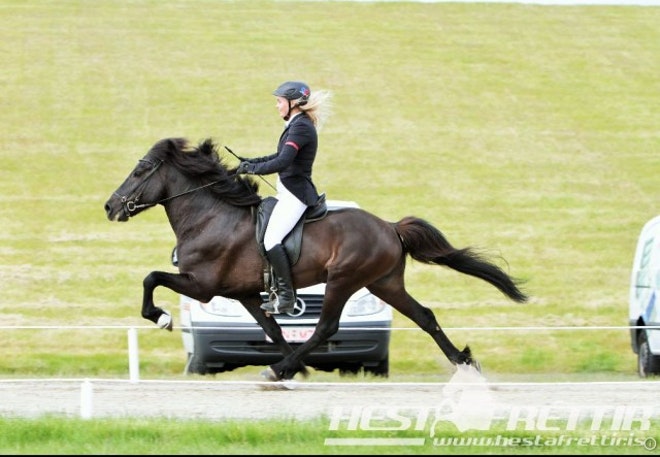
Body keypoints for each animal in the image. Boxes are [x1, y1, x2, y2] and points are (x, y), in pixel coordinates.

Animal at [103, 137, 528, 380]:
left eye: (140, 171)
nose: (109, 207)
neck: (211, 215)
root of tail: (390, 227)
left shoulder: (203, 285)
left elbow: (151, 278)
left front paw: (160, 317)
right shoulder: (242, 293)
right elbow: (272, 329)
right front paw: (300, 367)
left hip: (344, 279)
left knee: (326, 327)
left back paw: (278, 369)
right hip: (384, 283)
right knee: (424, 316)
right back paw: (463, 362)